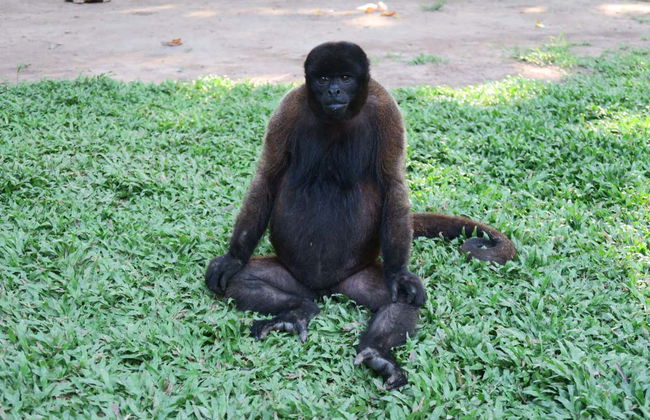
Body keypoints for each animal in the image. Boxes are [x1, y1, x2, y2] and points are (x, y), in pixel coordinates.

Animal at [205, 41, 515, 390]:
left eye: (345, 77)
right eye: (323, 78)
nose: (334, 90)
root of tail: (326, 289)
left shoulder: (385, 108)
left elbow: (393, 183)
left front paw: (399, 274)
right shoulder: (288, 108)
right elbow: (268, 177)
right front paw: (233, 257)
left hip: (357, 277)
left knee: (400, 299)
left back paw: (377, 352)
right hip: (292, 277)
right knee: (240, 281)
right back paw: (297, 310)